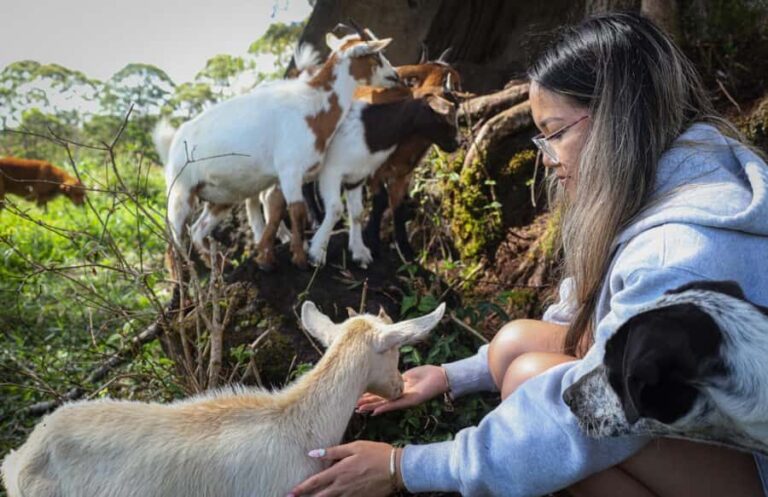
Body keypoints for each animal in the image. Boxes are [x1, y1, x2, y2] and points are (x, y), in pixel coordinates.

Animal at [158, 29, 399, 269]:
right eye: (374, 55)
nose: (395, 76)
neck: (312, 106)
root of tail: (174, 141)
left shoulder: (289, 176)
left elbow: (278, 210)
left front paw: (270, 257)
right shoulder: (289, 169)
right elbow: (297, 210)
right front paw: (300, 259)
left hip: (220, 196)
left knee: (197, 230)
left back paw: (217, 267)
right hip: (180, 192)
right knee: (174, 241)